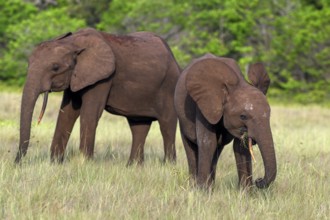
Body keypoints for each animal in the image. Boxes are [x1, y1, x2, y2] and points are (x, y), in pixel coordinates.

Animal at [14, 27, 180, 165]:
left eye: (55, 67)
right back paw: (133, 167)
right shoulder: (77, 76)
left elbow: (90, 113)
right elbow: (67, 113)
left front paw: (84, 164)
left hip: (170, 86)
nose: (17, 163)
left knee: (167, 125)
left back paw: (168, 166)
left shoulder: (103, 78)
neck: (73, 42)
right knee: (139, 126)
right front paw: (55, 164)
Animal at [174, 53, 278, 189]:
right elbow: (207, 142)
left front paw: (246, 192)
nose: (258, 180)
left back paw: (210, 186)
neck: (239, 83)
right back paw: (194, 185)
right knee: (190, 146)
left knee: (217, 149)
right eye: (243, 116)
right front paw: (201, 190)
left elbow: (240, 147)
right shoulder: (205, 105)